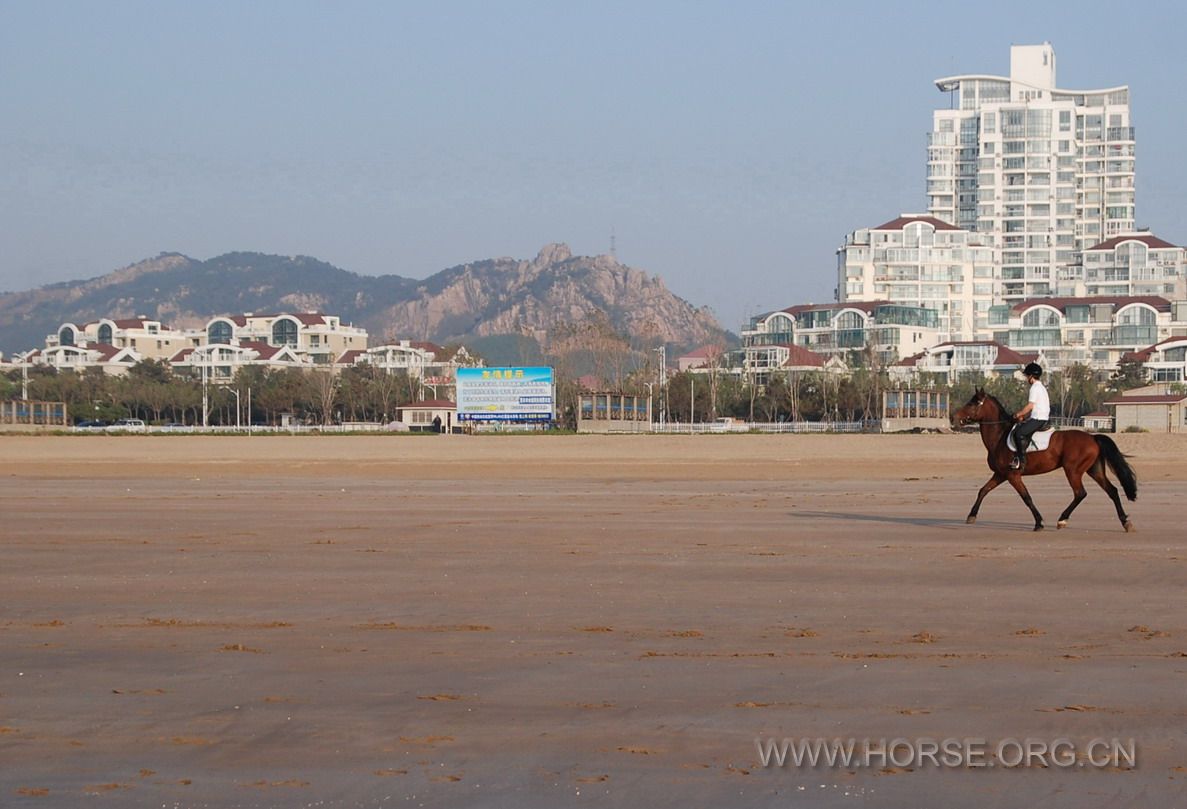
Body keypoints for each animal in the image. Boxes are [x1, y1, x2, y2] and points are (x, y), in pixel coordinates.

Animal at [949, 389, 1134, 531]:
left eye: (972, 404)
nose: (953, 418)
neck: (999, 436)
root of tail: (1093, 438)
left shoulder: (1012, 476)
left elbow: (1026, 498)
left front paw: (1039, 522)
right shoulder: (1001, 474)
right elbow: (983, 490)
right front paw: (971, 515)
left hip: (1073, 471)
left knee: (1080, 493)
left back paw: (1062, 520)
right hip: (1094, 470)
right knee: (1112, 491)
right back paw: (1126, 522)